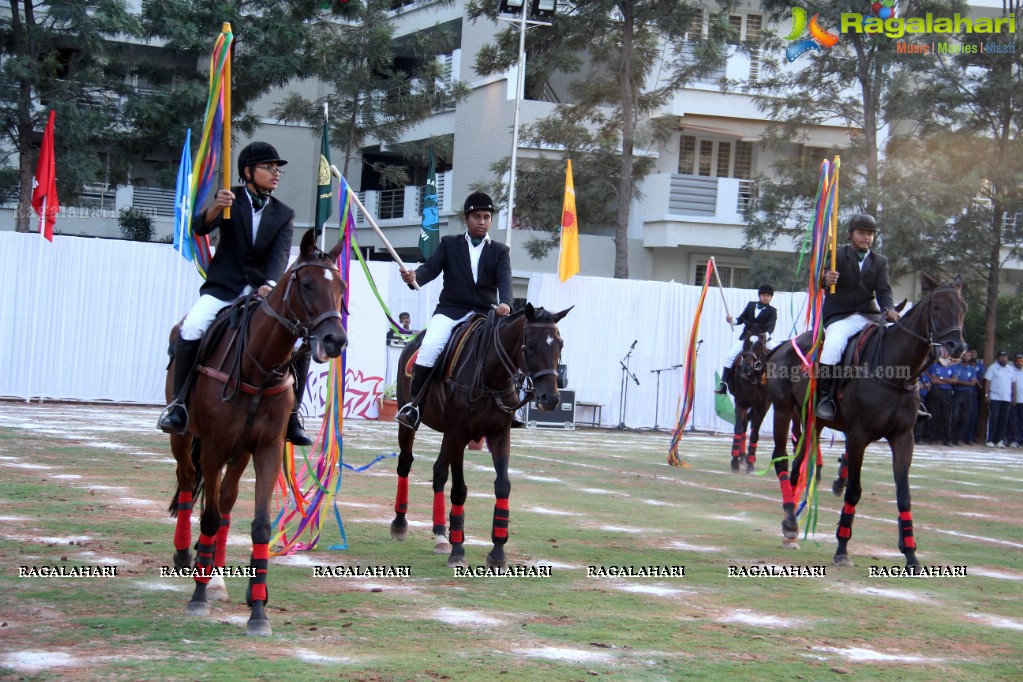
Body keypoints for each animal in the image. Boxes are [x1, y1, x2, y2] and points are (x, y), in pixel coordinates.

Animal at [165, 232, 345, 638]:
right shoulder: (213, 447)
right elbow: (209, 517)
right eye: (307, 285)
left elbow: (259, 526)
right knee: (187, 481)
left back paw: (216, 574)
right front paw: (197, 597)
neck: (257, 366)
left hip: (241, 452)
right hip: (184, 438)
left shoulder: (266, 449)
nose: (335, 341)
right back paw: (187, 556)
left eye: (341, 288)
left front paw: (259, 608)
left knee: (227, 501)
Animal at [386, 304, 572, 572]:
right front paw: (458, 550)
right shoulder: (458, 434)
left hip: (448, 435)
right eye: (530, 345)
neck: (491, 377)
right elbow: (459, 490)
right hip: (413, 422)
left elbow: (503, 486)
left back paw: (441, 534)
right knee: (405, 463)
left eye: (560, 344)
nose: (550, 399)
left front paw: (497, 551)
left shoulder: (499, 435)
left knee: (439, 472)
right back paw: (400, 524)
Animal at [728, 327, 769, 474]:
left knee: (748, 425)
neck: (755, 378)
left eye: (760, 345)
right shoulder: (741, 403)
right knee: (744, 424)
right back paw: (741, 457)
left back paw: (746, 458)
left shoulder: (763, 407)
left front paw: (751, 463)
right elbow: (738, 429)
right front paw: (734, 462)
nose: (746, 368)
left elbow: (755, 434)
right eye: (746, 342)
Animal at [765, 274, 961, 568]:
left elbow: (904, 495)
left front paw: (911, 553)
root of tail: (787, 344)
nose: (957, 347)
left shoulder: (903, 438)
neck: (895, 371)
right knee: (781, 459)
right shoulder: (858, 436)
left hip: (812, 422)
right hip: (783, 409)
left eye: (962, 308)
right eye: (936, 307)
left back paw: (791, 527)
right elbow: (853, 491)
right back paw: (790, 520)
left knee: (798, 466)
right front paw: (842, 548)